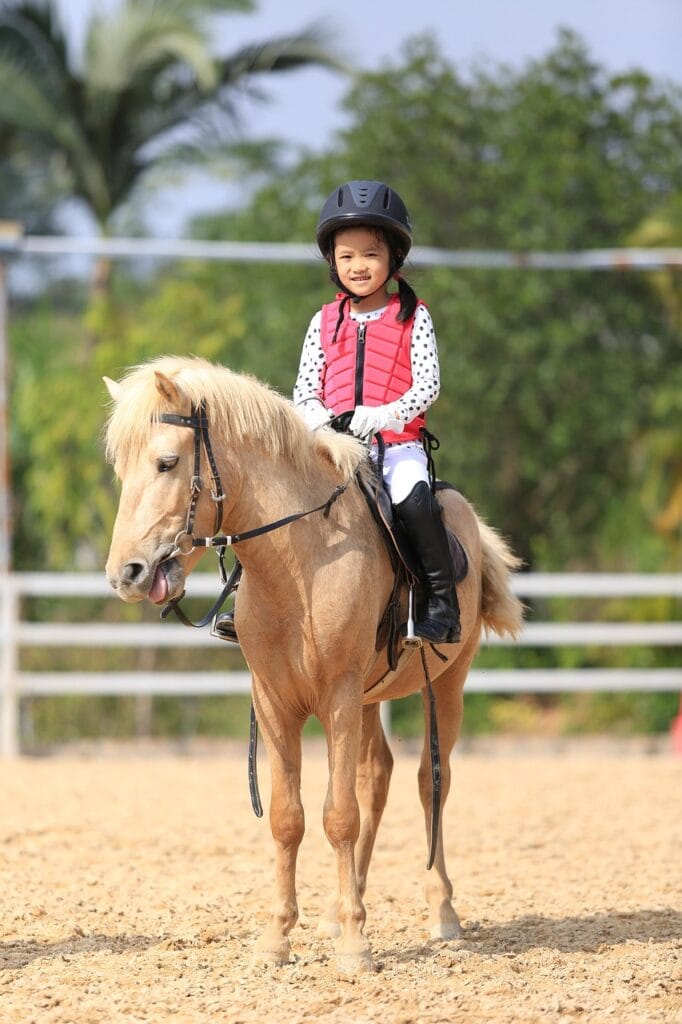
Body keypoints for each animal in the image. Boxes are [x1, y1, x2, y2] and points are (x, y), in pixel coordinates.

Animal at [103, 355, 523, 974]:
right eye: (121, 470)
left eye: (166, 462)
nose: (126, 573)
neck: (298, 561)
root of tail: (461, 510)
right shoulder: (275, 703)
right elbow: (289, 817)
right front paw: (279, 936)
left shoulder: (339, 699)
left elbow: (338, 815)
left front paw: (354, 945)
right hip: (372, 698)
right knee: (377, 778)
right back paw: (342, 906)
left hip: (446, 684)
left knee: (432, 784)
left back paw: (441, 912)